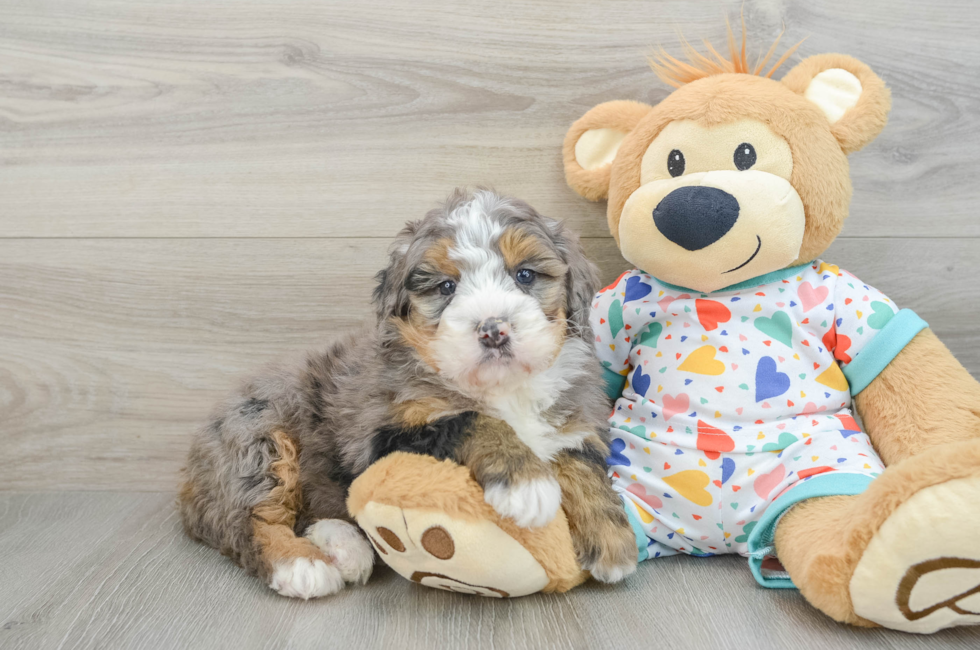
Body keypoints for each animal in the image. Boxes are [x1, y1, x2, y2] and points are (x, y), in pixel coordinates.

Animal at [180, 187, 640, 596]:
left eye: (525, 275)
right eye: (446, 287)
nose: (493, 330)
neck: (503, 388)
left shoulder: (574, 419)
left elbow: (580, 463)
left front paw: (612, 541)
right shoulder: (382, 435)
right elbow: (474, 421)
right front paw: (526, 484)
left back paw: (343, 545)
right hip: (257, 438)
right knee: (248, 519)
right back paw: (301, 564)